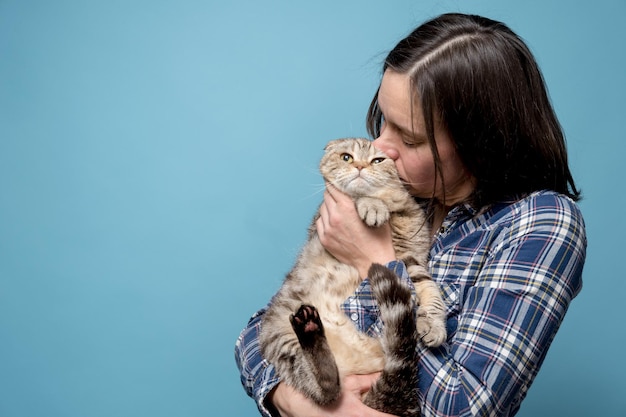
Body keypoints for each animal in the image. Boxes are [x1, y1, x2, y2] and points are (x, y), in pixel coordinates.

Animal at [258, 137, 444, 416]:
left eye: (377, 160)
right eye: (346, 157)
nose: (359, 167)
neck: (395, 212)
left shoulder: (413, 258)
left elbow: (429, 288)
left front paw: (434, 323)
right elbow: (357, 196)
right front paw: (371, 206)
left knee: (330, 389)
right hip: (280, 335)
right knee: (325, 391)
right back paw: (312, 332)